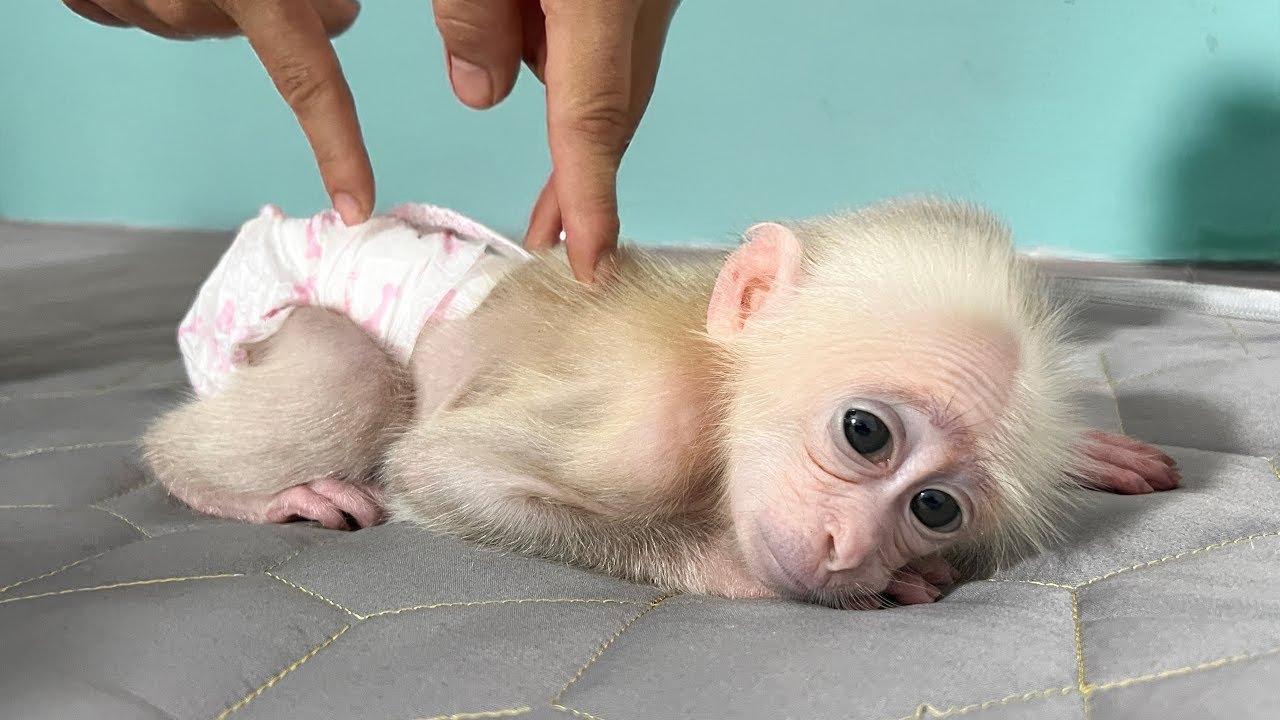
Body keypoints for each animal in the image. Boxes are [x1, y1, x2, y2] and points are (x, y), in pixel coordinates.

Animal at [141, 197, 1179, 610]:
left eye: (934, 508)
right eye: (865, 433)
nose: (850, 548)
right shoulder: (651, 421)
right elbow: (437, 470)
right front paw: (733, 567)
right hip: (259, 299)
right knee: (355, 381)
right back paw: (225, 486)